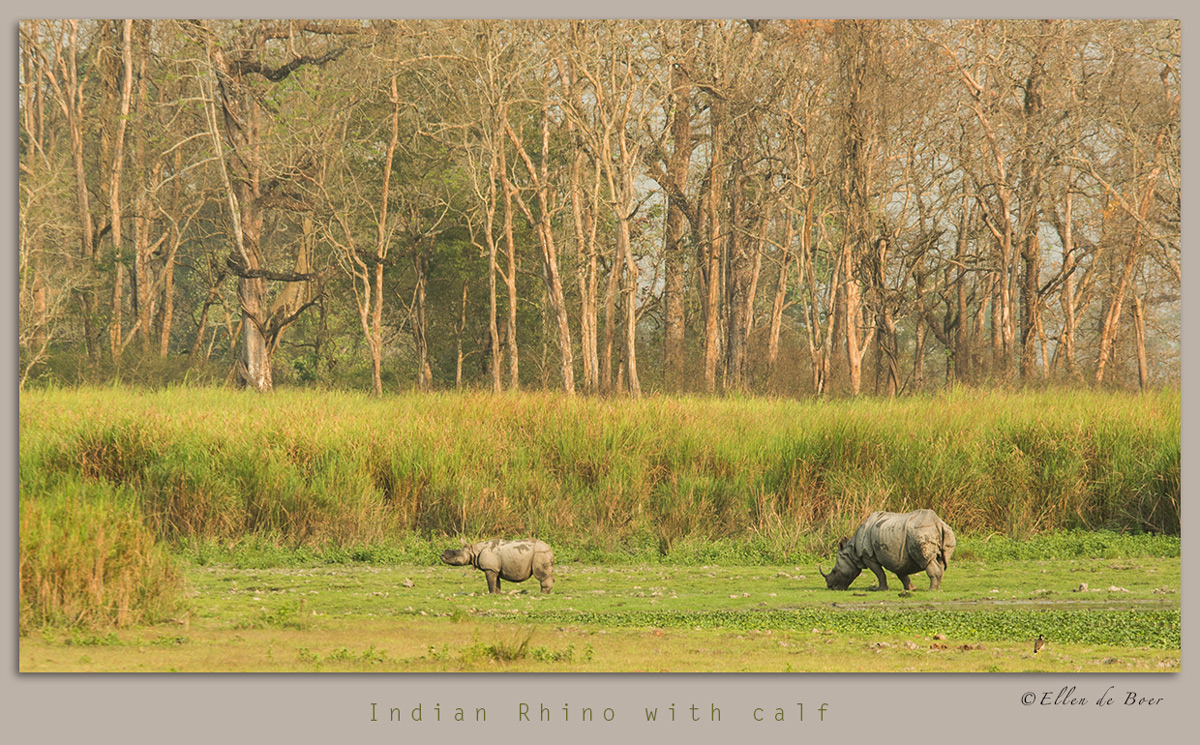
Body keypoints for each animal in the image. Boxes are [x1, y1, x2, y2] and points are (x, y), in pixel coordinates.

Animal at [819, 509, 956, 591]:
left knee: (927, 560)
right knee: (942, 561)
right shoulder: (900, 557)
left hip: (921, 532)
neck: (852, 553)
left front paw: (881, 590)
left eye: (835, 571)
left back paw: (931, 590)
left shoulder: (868, 556)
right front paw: (911, 589)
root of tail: (938, 522)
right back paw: (937, 588)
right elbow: (902, 573)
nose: (830, 587)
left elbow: (879, 573)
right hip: (946, 532)